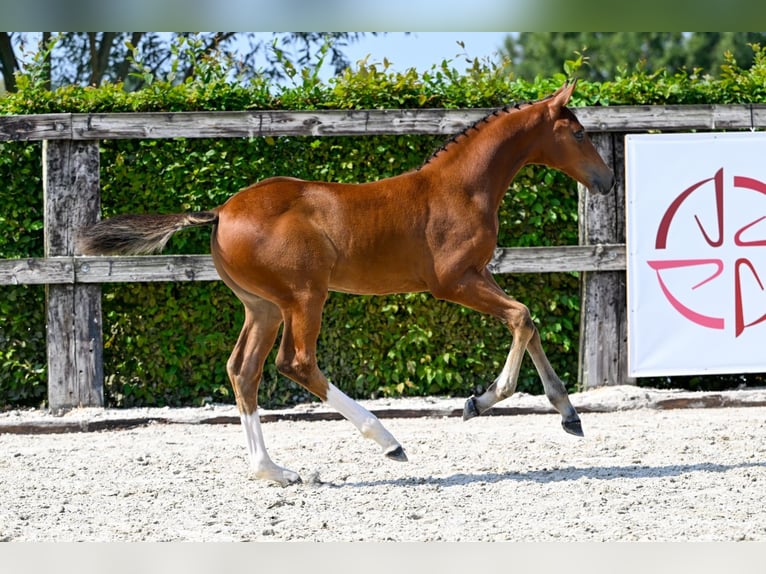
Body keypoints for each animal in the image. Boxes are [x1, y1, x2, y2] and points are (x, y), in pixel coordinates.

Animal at [78, 82, 616, 486]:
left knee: (243, 370)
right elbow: (522, 317)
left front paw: (568, 414)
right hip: (304, 297)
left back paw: (273, 470)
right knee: (295, 363)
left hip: (263, 306)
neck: (461, 188)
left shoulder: (479, 274)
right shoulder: (453, 282)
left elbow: (527, 321)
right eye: (578, 133)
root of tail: (220, 212)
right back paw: (387, 440)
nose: (607, 180)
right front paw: (482, 401)